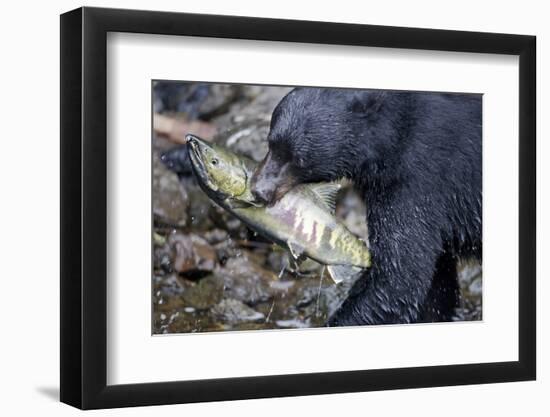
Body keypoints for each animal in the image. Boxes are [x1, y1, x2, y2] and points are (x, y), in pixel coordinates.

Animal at [251, 88, 484, 324]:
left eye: (299, 159)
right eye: (271, 144)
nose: (259, 190)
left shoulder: (418, 181)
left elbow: (398, 276)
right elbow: (436, 281)